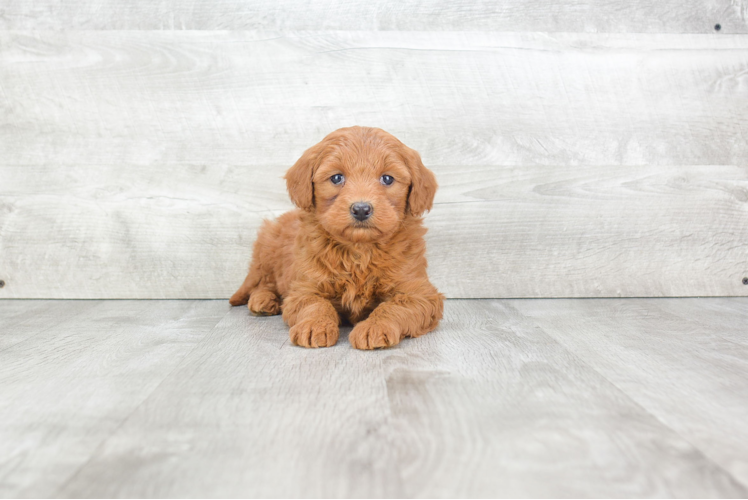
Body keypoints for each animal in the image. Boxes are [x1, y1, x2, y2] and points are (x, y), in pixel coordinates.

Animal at [228, 127, 444, 350]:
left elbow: (393, 307)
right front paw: (315, 325)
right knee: (263, 282)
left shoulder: (419, 292)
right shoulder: (304, 288)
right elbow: (316, 304)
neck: (359, 251)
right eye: (337, 178)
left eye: (387, 179)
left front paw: (374, 327)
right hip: (266, 249)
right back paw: (263, 300)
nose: (361, 209)